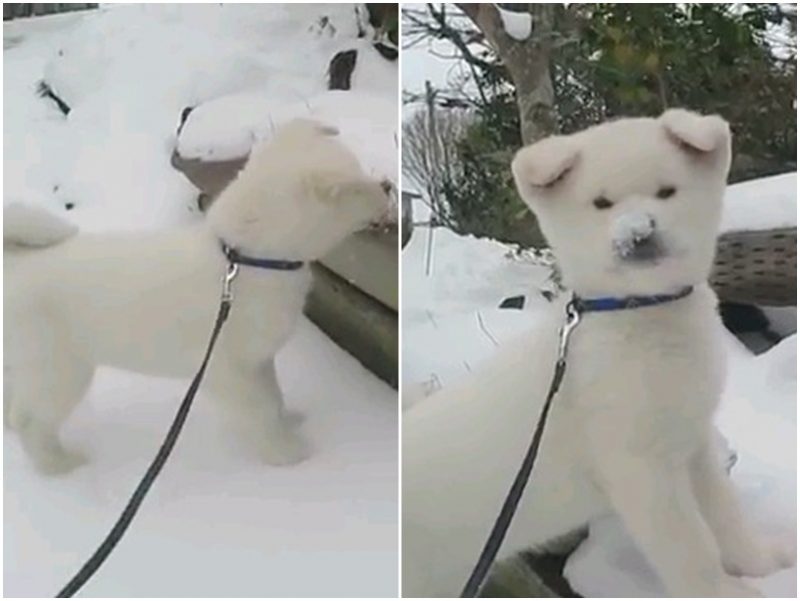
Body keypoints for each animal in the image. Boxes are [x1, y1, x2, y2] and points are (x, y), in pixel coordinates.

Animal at [2, 117, 390, 474]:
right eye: (357, 185)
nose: (387, 185)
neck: (245, 258)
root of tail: (15, 263)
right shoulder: (228, 369)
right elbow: (261, 409)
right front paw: (288, 455)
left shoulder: (257, 359)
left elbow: (274, 396)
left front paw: (287, 421)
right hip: (61, 370)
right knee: (33, 421)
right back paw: (59, 465)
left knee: (16, 406)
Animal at [400, 109, 792, 596]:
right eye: (602, 203)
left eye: (666, 191)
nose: (639, 233)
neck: (641, 315)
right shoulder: (637, 468)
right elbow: (689, 548)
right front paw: (725, 592)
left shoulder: (693, 441)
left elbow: (725, 514)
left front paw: (762, 564)